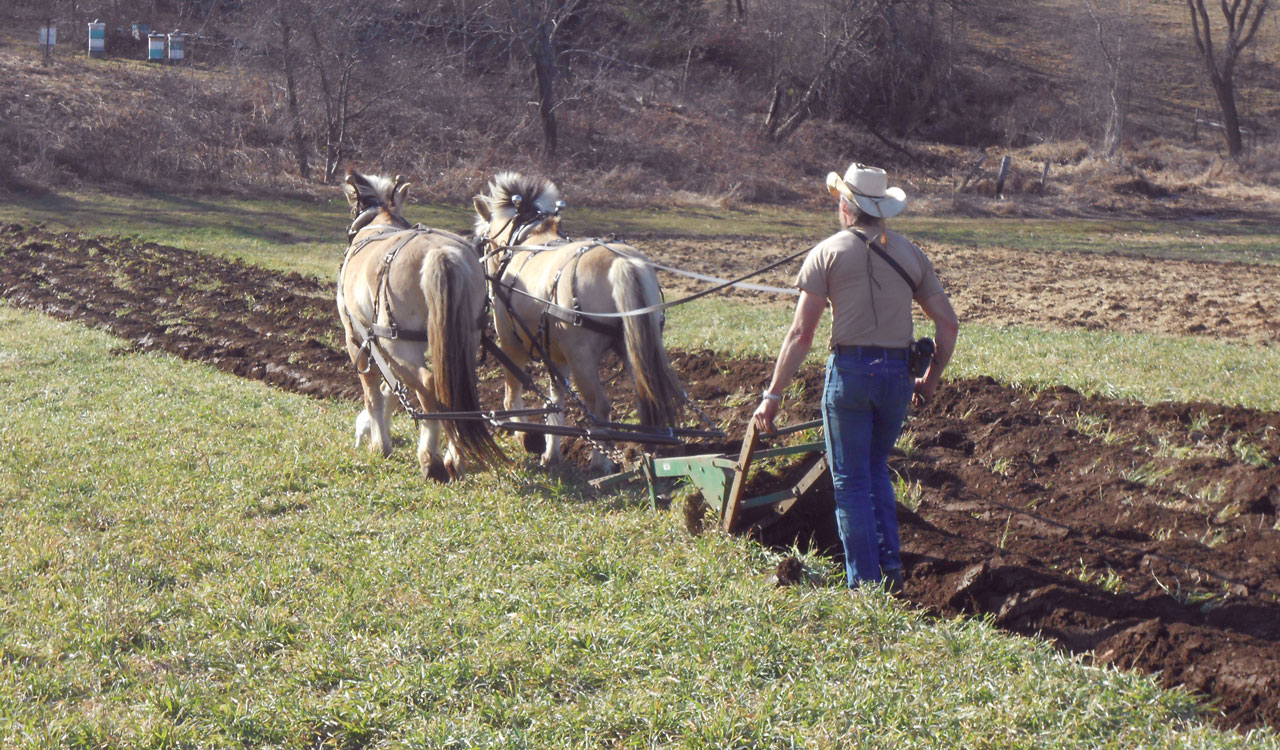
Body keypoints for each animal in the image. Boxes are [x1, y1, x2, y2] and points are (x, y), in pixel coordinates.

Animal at [337, 170, 501, 478]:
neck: (378, 223)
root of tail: (442, 252)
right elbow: (392, 389)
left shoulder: (358, 341)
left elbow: (373, 394)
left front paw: (380, 445)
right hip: (460, 340)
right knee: (451, 387)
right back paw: (454, 458)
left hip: (398, 343)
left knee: (427, 384)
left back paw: (430, 459)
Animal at [473, 172, 691, 470]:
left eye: (482, 239)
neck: (523, 241)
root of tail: (622, 263)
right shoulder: (555, 354)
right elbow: (556, 399)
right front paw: (551, 453)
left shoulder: (511, 344)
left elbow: (513, 395)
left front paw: (525, 438)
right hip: (636, 348)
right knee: (645, 396)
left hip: (582, 359)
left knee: (600, 406)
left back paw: (602, 461)